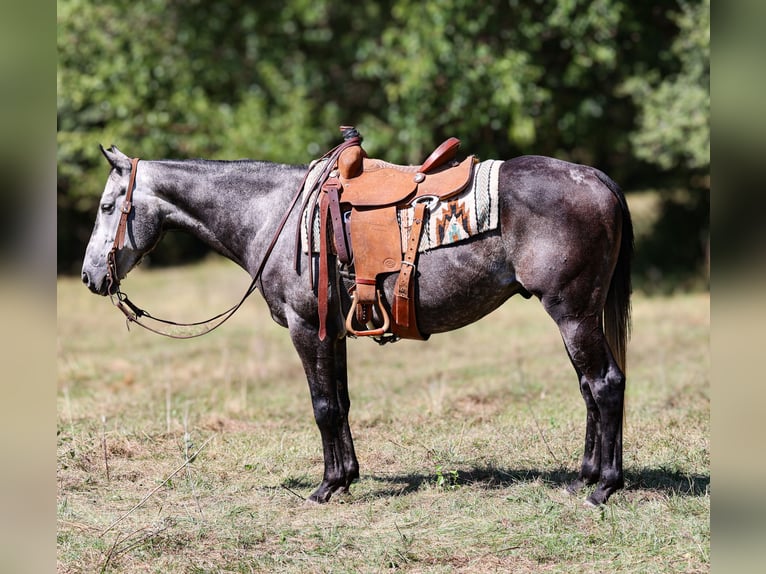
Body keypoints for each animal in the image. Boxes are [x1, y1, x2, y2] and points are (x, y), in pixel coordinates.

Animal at [82, 145, 636, 508]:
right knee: (590, 389)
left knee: (605, 384)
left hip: (572, 313)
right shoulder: (333, 330)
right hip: (576, 316)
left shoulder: (305, 326)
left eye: (108, 207)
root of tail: (597, 178)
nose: (90, 277)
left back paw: (604, 486)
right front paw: (347, 476)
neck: (274, 215)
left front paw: (326, 487)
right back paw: (584, 477)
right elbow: (341, 403)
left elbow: (323, 406)